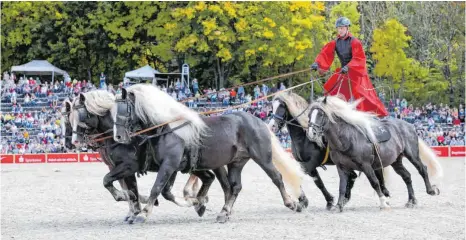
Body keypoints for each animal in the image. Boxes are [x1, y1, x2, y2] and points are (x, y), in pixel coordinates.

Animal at [112, 84, 310, 223]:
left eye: (125, 110)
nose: (118, 136)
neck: (169, 128)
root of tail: (259, 121)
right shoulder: (172, 167)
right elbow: (166, 191)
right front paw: (197, 202)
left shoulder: (169, 165)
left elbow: (157, 188)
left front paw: (143, 214)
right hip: (236, 163)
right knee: (235, 187)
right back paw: (224, 212)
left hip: (263, 158)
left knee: (276, 178)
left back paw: (291, 203)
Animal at [308, 95, 442, 212]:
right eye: (309, 115)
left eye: (321, 114)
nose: (311, 133)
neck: (347, 139)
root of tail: (410, 125)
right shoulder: (342, 168)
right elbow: (342, 186)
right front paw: (338, 205)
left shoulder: (366, 166)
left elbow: (375, 183)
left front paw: (384, 203)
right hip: (396, 161)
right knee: (407, 176)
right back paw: (411, 201)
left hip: (412, 155)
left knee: (422, 169)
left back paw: (431, 190)